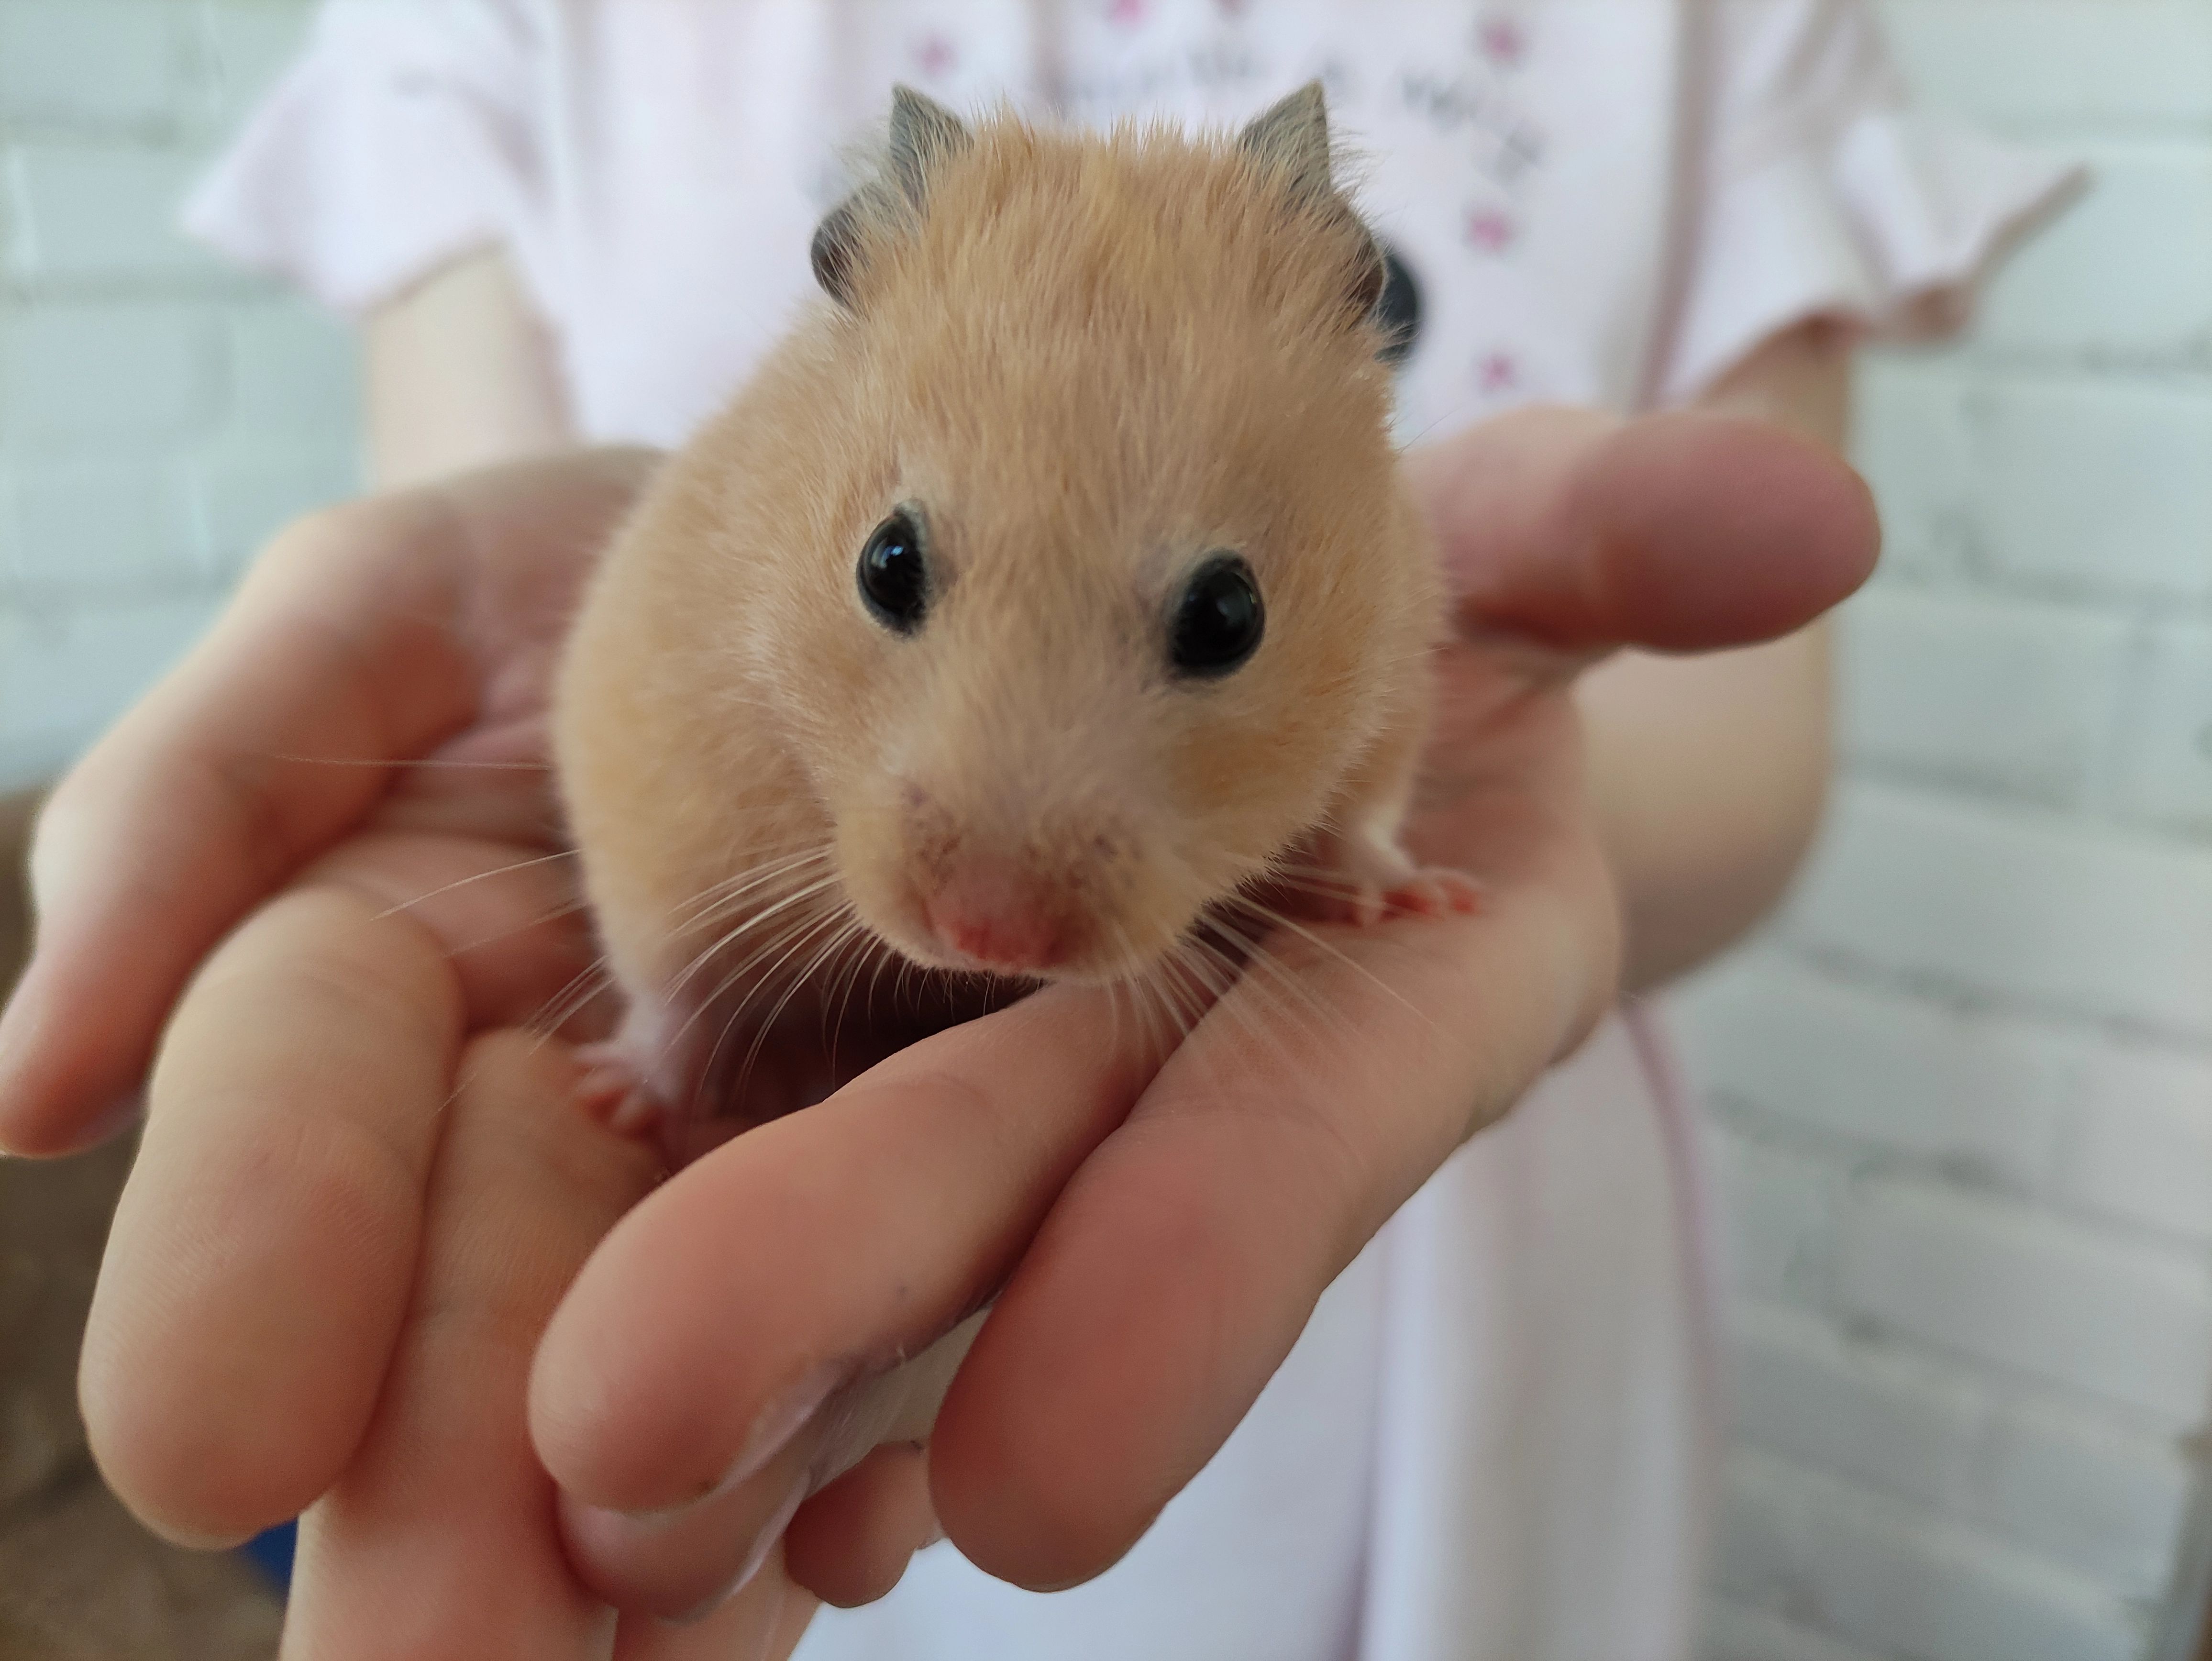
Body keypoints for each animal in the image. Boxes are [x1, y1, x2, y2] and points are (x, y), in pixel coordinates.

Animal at [552, 84, 1477, 1127]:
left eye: (1227, 616)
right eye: (885, 564)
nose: (985, 932)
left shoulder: (1396, 665)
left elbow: (1362, 817)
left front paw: (1419, 897)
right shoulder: (652, 752)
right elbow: (666, 972)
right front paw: (610, 1097)